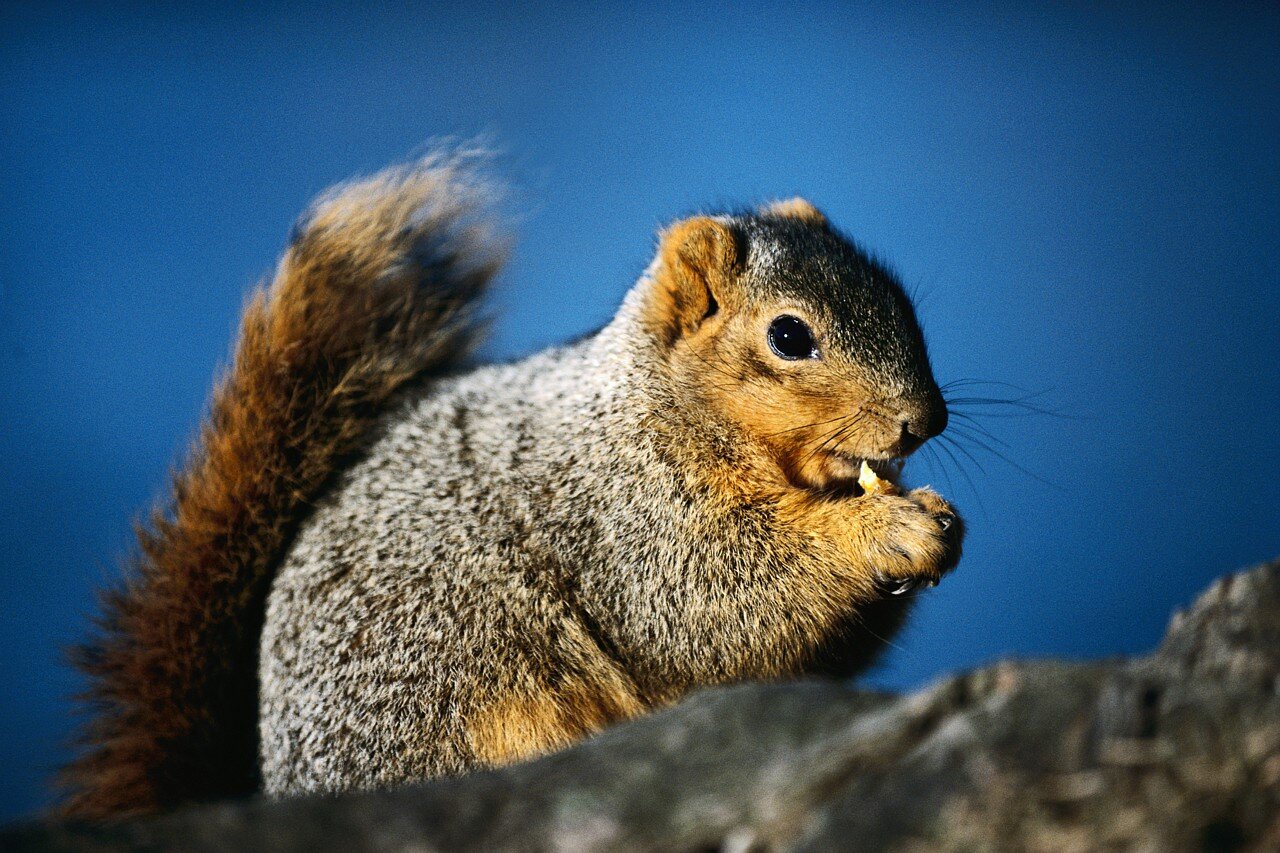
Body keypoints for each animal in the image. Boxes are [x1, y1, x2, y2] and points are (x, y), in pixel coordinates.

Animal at [60, 149, 962, 814]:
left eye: (899, 296)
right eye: (789, 336)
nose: (923, 420)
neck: (657, 404)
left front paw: (941, 525)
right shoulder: (627, 516)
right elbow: (718, 603)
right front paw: (891, 529)